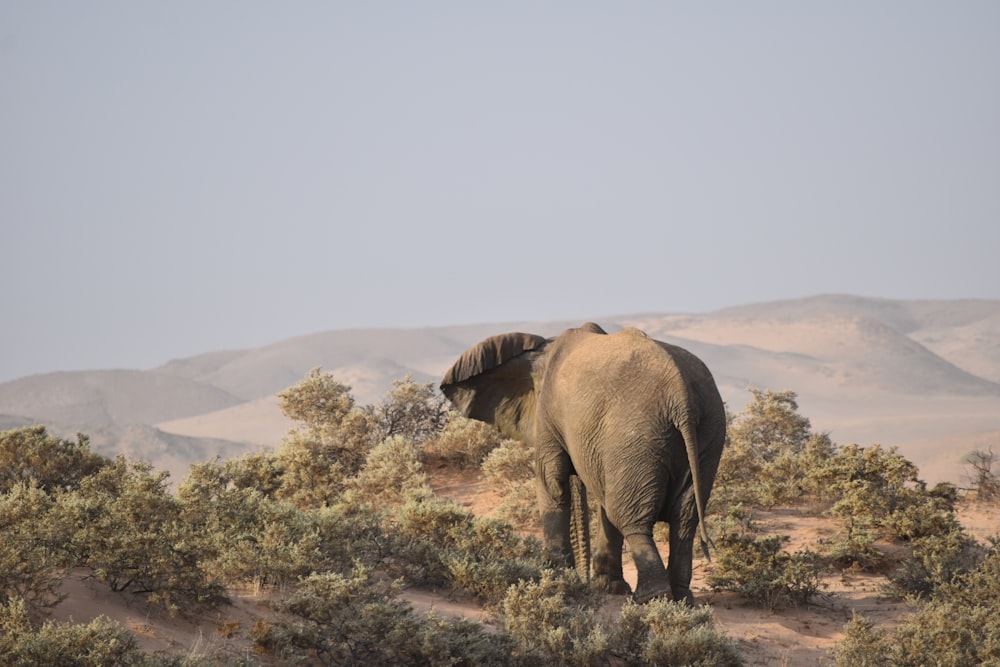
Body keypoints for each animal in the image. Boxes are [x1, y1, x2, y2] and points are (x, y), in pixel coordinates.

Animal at [442, 324, 724, 604]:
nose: (582, 578)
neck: (542, 350)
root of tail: (681, 396)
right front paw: (608, 587)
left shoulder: (549, 413)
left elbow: (552, 482)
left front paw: (557, 580)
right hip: (706, 433)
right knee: (682, 518)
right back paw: (682, 598)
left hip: (637, 433)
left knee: (631, 518)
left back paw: (651, 598)